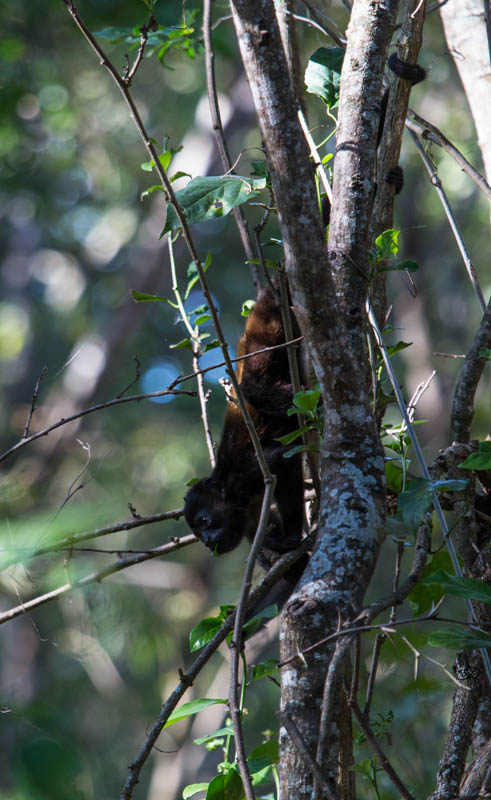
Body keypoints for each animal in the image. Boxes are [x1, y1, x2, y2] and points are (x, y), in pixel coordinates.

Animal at [184, 286, 306, 588]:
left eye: (204, 521)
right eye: (198, 535)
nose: (207, 541)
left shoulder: (245, 477)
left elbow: (285, 463)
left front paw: (291, 538)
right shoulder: (251, 519)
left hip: (264, 335)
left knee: (253, 386)